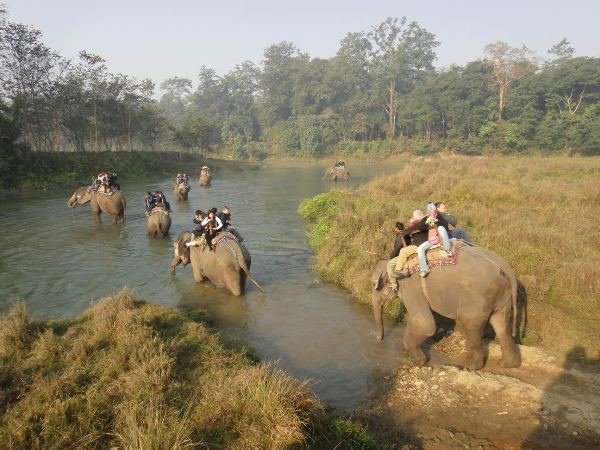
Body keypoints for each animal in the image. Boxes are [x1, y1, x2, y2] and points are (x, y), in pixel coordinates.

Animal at [370, 244, 520, 370]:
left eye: (373, 284)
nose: (379, 339)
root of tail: (504, 266)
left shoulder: (411, 288)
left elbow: (424, 323)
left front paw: (419, 361)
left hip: (477, 298)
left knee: (472, 324)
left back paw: (469, 366)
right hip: (502, 297)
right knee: (500, 324)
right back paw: (507, 364)